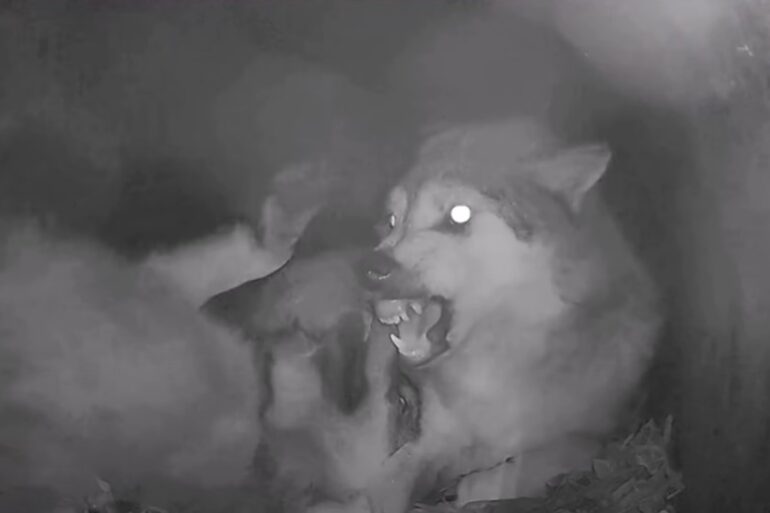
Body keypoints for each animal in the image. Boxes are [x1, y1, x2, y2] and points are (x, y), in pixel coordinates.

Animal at [357, 118, 662, 511]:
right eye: (392, 220)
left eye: (458, 215)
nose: (369, 268)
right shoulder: (435, 434)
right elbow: (387, 483)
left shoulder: (594, 437)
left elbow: (496, 479)